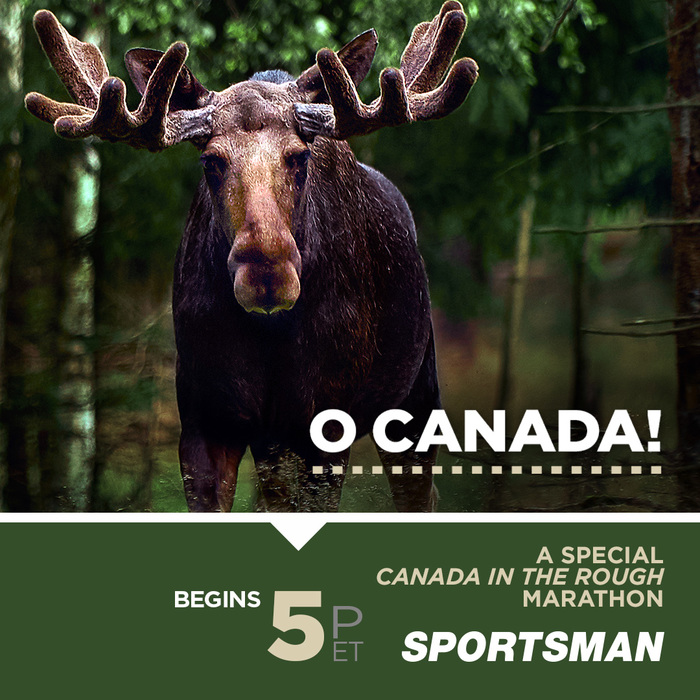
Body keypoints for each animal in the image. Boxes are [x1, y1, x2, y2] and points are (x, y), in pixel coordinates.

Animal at [25, 3, 478, 513]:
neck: (271, 339)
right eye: (211, 160)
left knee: (421, 494)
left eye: (300, 156)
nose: (267, 274)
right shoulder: (206, 421)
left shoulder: (323, 427)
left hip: (416, 400)